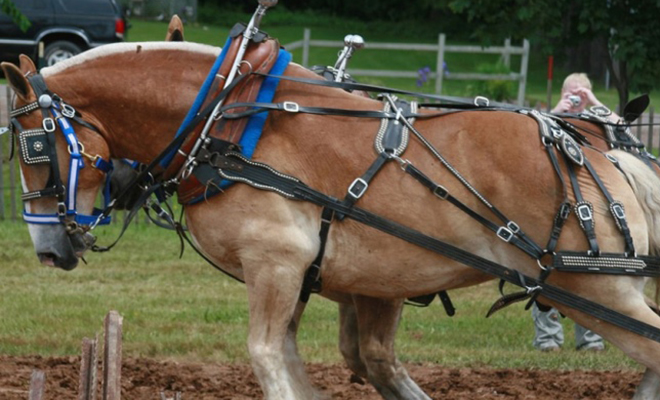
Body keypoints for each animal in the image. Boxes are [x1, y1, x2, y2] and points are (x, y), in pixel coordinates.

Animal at [3, 39, 660, 396]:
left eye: (35, 147)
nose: (47, 250)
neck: (227, 122)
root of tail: (594, 148)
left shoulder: (275, 264)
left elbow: (268, 359)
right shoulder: (309, 277)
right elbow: (308, 361)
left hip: (593, 287)